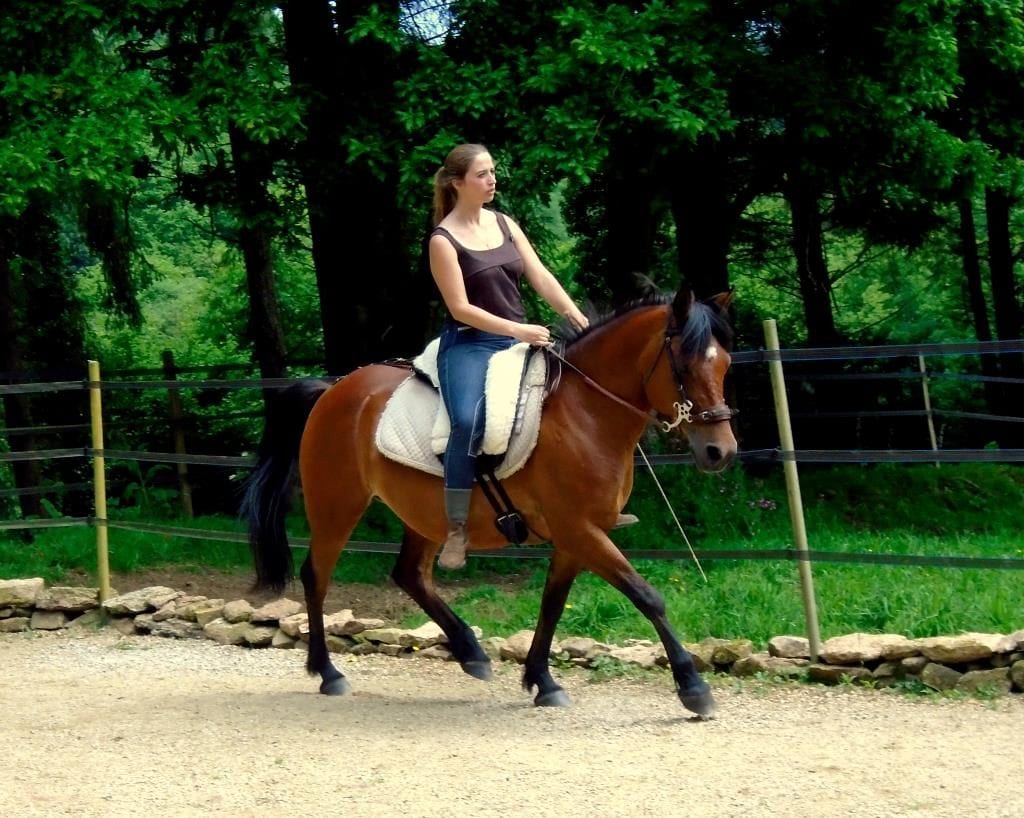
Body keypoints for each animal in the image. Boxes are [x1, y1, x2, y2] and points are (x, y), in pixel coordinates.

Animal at [242, 289, 737, 718]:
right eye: (684, 365)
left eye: (726, 364)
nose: (721, 452)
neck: (586, 414)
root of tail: (334, 389)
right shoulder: (581, 530)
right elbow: (647, 596)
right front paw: (693, 688)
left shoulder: (574, 537)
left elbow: (552, 604)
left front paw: (543, 681)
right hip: (337, 506)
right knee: (316, 576)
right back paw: (328, 673)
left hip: (424, 515)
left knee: (410, 575)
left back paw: (471, 652)